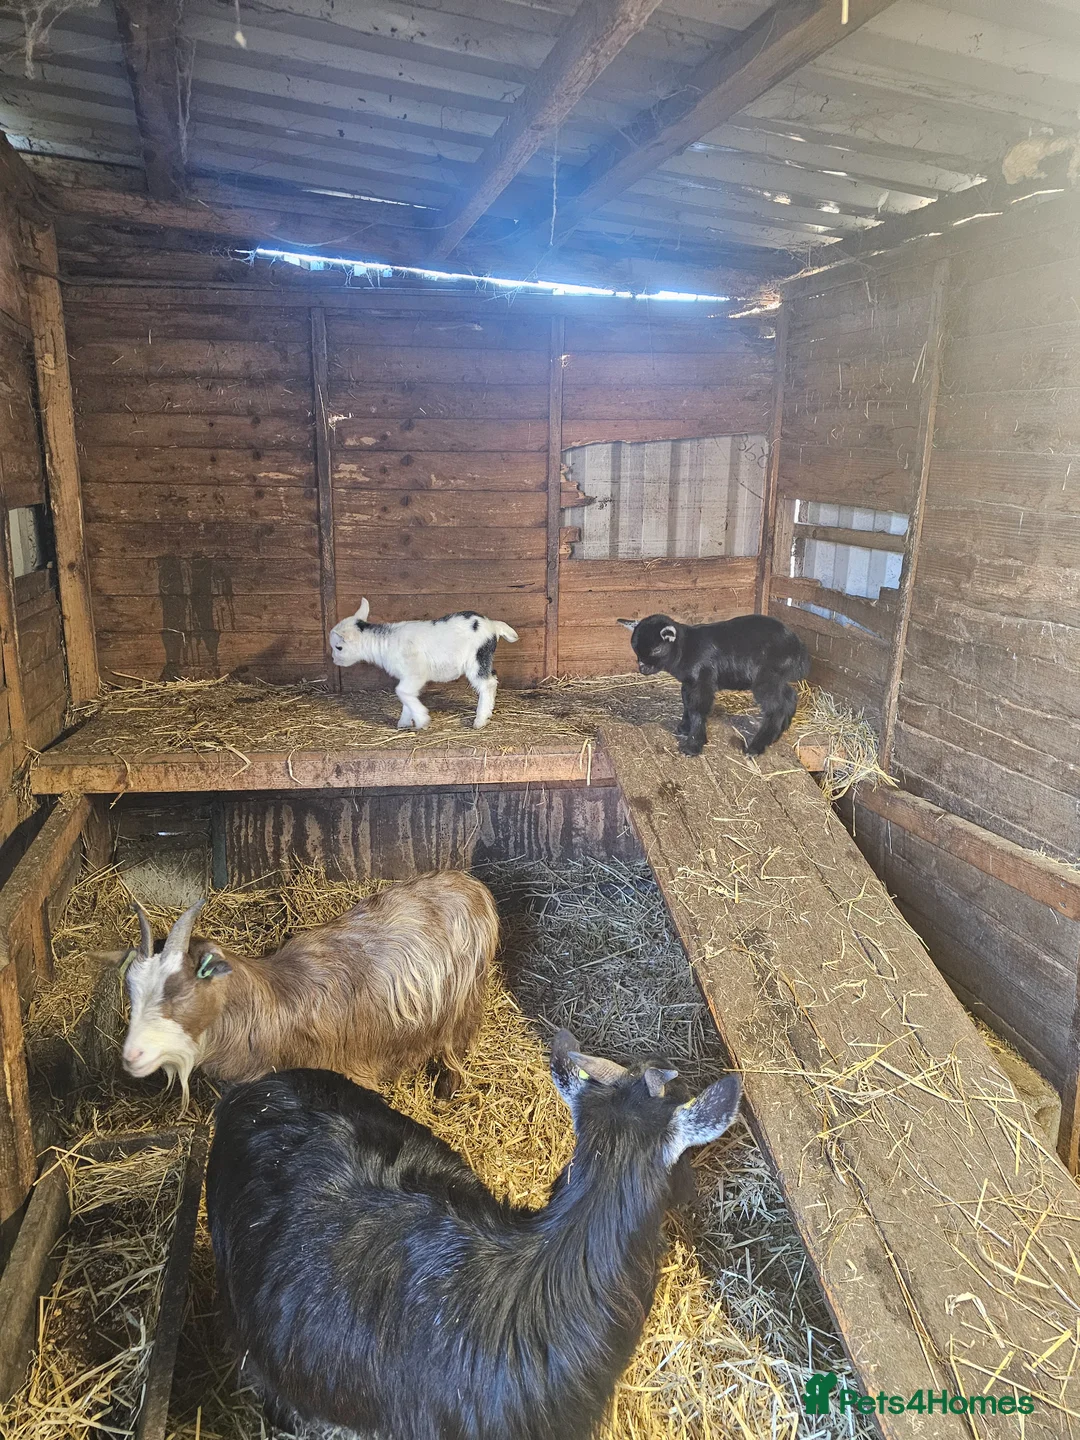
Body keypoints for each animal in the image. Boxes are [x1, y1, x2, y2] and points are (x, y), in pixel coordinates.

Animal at [120, 871, 498, 1106]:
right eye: (132, 991)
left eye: (179, 990)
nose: (132, 1056)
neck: (272, 1003)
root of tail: (471, 884)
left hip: (466, 1001)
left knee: (459, 1046)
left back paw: (446, 1093)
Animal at [329, 599, 519, 730]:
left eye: (338, 647)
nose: (333, 660)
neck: (383, 644)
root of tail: (493, 625)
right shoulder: (407, 676)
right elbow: (406, 695)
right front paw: (404, 722)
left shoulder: (415, 672)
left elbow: (401, 691)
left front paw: (422, 719)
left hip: (477, 658)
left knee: (487, 684)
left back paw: (480, 720)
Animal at [618, 612, 810, 757]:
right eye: (635, 647)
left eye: (656, 649)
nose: (643, 669)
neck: (685, 649)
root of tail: (799, 649)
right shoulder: (689, 683)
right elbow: (687, 704)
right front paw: (684, 728)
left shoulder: (703, 681)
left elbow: (698, 709)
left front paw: (693, 746)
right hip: (777, 678)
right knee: (790, 697)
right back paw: (780, 732)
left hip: (766, 678)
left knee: (776, 708)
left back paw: (755, 747)